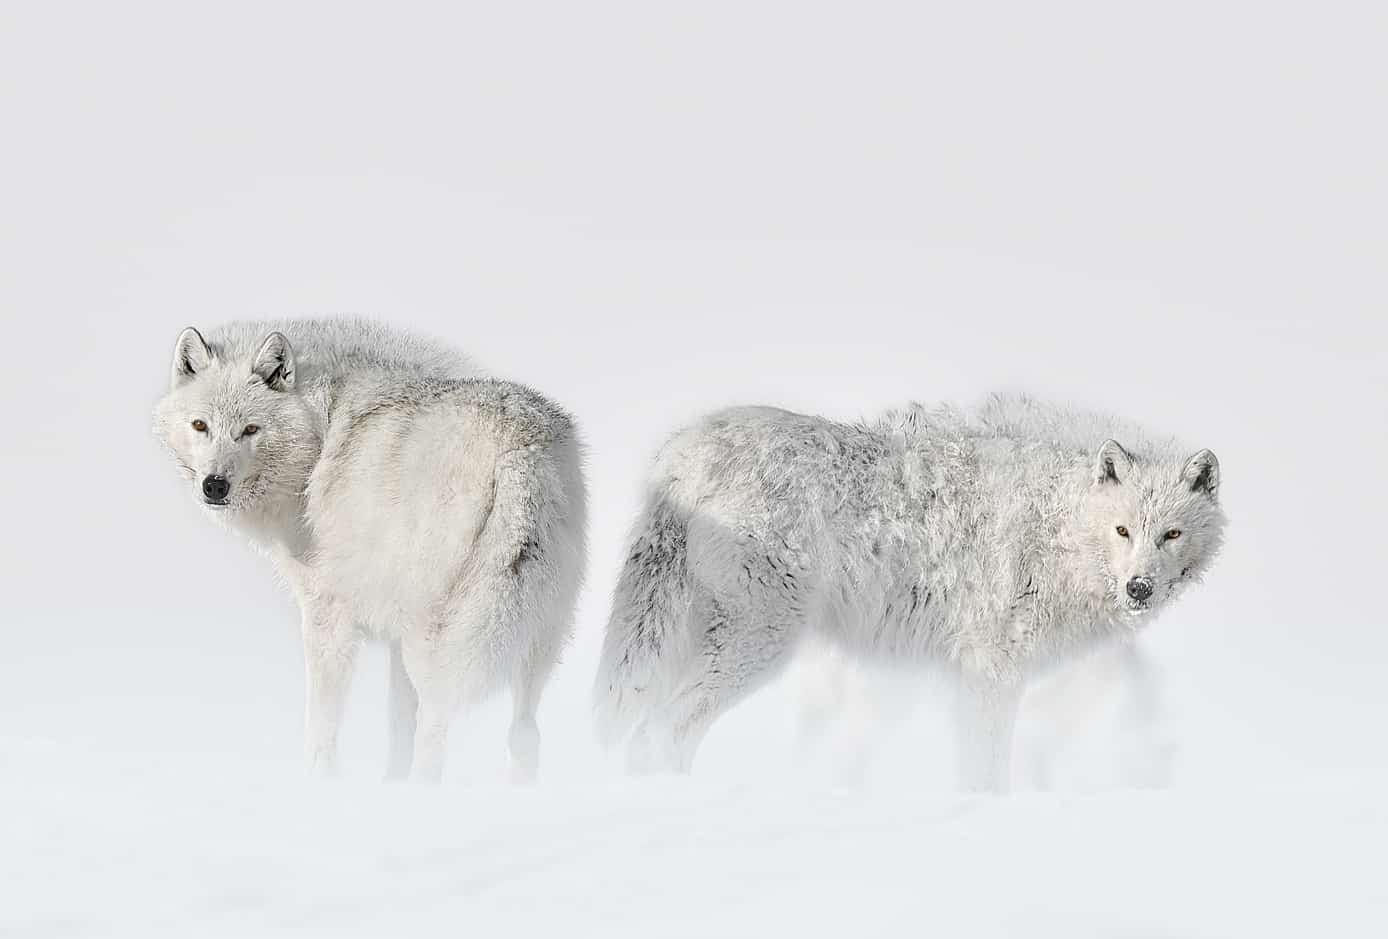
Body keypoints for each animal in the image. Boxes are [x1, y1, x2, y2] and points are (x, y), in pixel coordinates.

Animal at [153, 318, 586, 783]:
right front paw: (389, 783)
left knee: (436, 732)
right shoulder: (394, 635)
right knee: (524, 733)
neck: (319, 435)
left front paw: (320, 780)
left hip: (439, 639)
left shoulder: (327, 614)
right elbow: (397, 724)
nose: (214, 486)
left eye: (250, 429)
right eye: (200, 425)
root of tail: (517, 448)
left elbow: (322, 728)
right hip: (532, 635)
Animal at [594, 393, 1223, 792]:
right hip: (759, 643)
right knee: (663, 730)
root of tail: (680, 452)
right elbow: (989, 770)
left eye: (1171, 534)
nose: (1139, 587)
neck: (1059, 526)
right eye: (1123, 531)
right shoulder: (992, 668)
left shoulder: (968, 675)